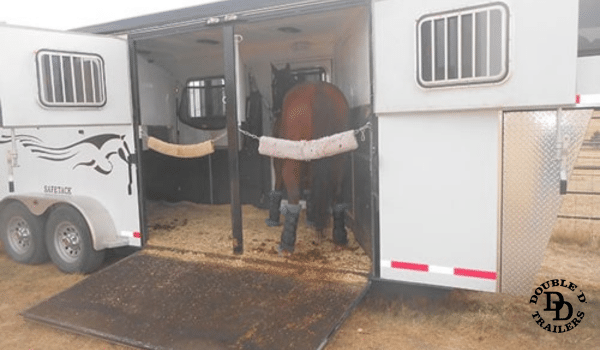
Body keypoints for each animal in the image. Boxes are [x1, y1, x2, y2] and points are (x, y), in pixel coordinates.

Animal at [268, 69, 350, 253]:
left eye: (274, 84)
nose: (275, 110)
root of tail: (318, 91)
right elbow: (309, 189)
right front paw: (312, 219)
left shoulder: (279, 160)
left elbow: (278, 188)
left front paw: (273, 219)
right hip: (339, 159)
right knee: (338, 193)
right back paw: (340, 236)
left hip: (292, 162)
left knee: (293, 195)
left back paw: (286, 243)